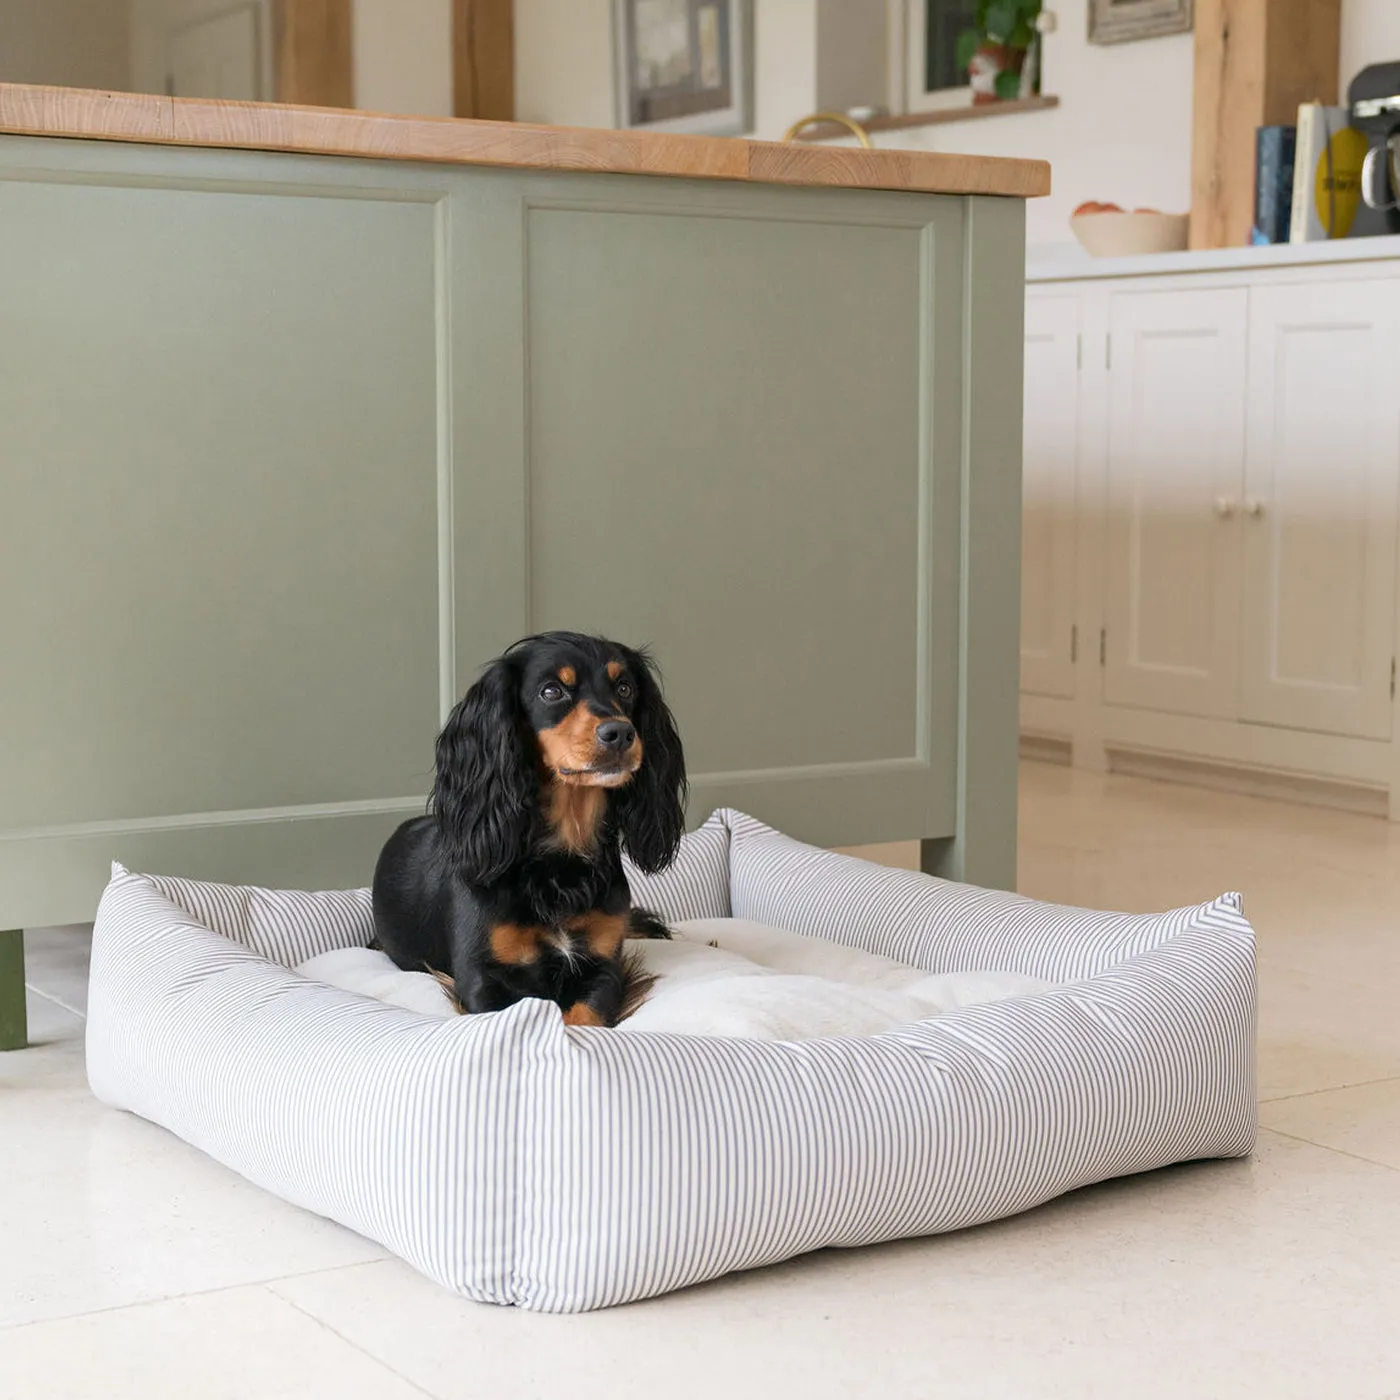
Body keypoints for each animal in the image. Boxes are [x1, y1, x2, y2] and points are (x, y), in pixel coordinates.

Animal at [366, 635, 683, 1030]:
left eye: (625, 688)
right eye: (551, 691)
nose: (620, 733)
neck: (560, 862)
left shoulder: (603, 967)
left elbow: (584, 1019)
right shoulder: (481, 978)